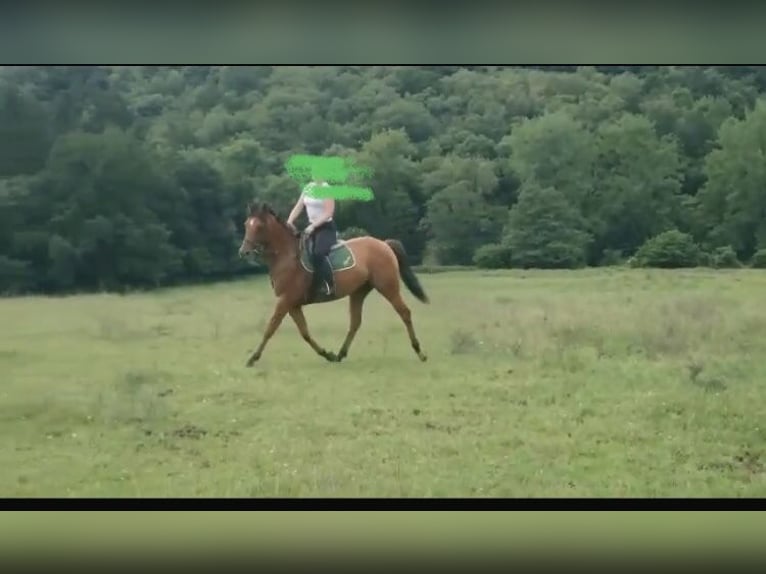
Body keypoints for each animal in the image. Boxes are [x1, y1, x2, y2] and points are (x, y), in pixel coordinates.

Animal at [238, 200, 432, 366]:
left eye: (259, 226)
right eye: (246, 225)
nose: (244, 252)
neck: (287, 257)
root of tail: (383, 244)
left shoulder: (285, 300)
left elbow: (270, 327)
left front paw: (252, 358)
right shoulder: (292, 304)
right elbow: (304, 332)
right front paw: (327, 354)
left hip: (388, 287)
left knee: (404, 313)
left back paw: (420, 352)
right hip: (359, 291)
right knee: (355, 322)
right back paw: (340, 354)